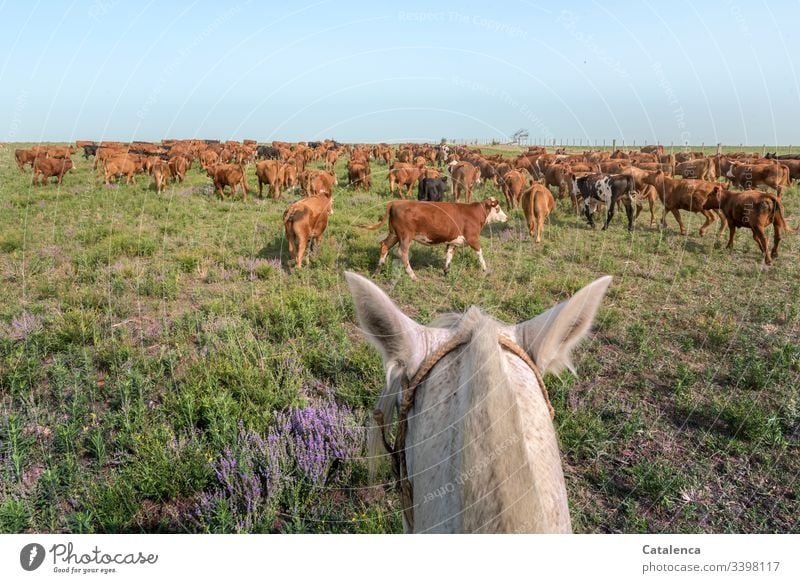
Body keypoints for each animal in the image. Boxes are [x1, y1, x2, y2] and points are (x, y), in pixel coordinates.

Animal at [360, 196, 506, 280]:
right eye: (498, 208)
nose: (506, 217)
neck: (474, 213)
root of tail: (396, 202)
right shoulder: (473, 238)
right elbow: (480, 254)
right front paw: (485, 270)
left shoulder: (452, 241)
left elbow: (449, 255)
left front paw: (446, 272)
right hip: (405, 235)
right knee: (403, 253)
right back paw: (413, 276)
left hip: (394, 234)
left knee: (384, 245)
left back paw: (377, 271)